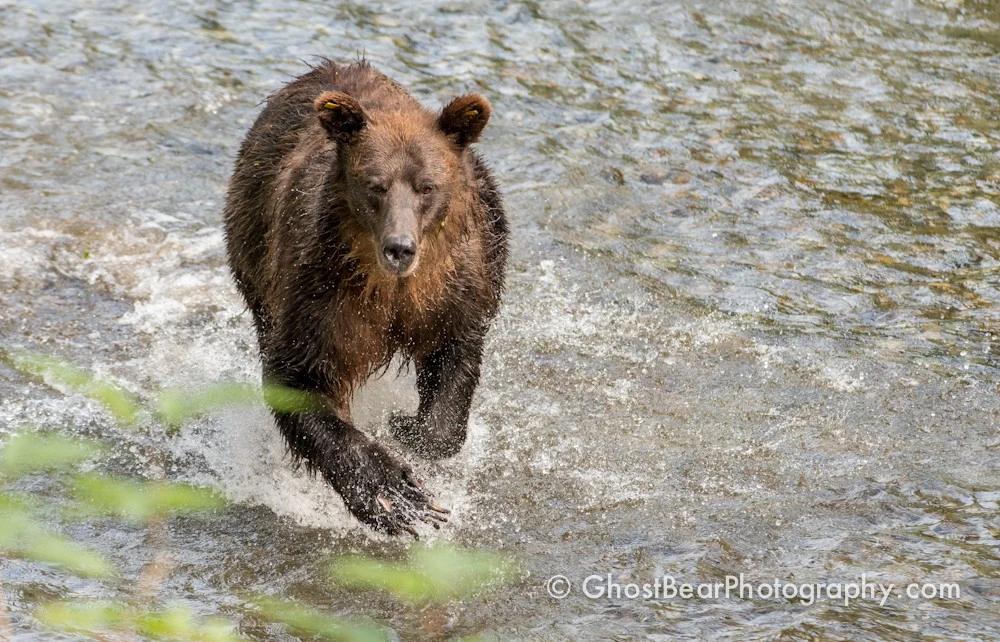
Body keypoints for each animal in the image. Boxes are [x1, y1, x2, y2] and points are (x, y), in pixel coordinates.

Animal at [222, 59, 508, 536]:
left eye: (426, 186)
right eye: (376, 185)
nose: (399, 247)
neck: (392, 287)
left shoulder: (456, 292)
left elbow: (454, 367)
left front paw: (408, 428)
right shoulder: (318, 292)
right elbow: (299, 380)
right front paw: (393, 494)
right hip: (253, 241)